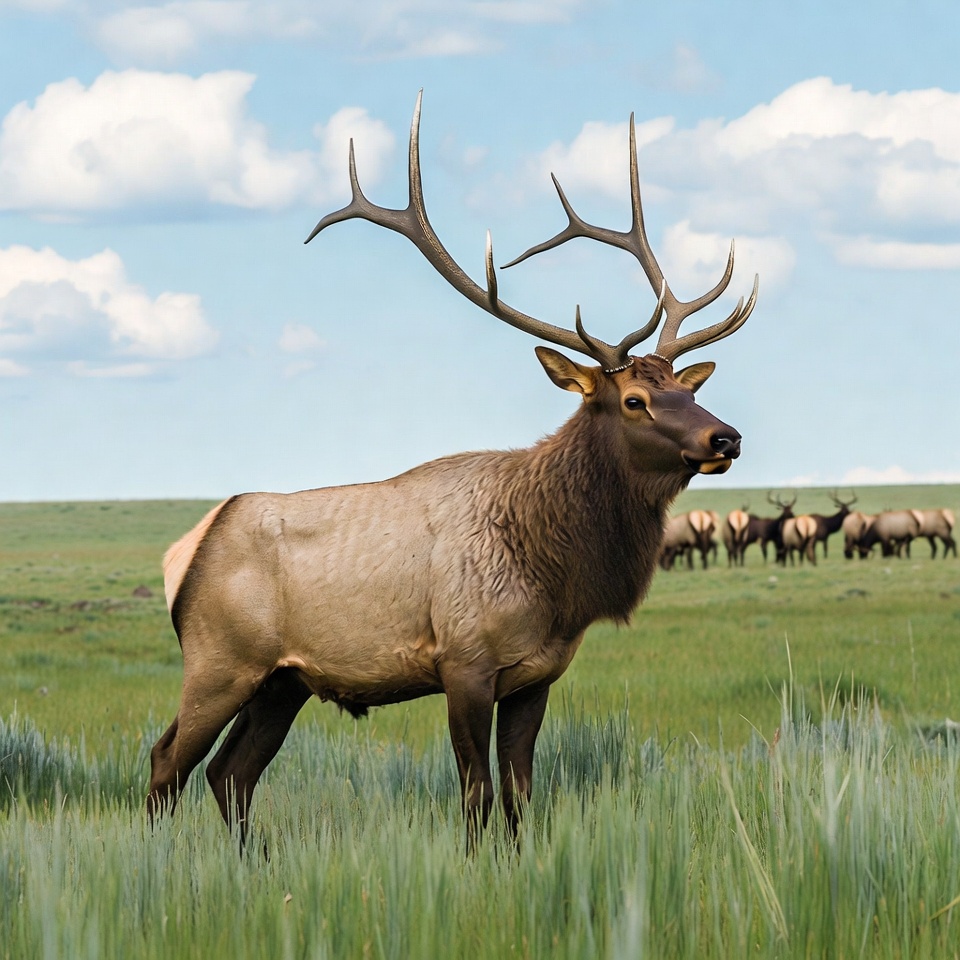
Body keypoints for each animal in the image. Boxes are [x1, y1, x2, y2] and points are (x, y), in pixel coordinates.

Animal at [146, 93, 758, 848]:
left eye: (686, 388)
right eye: (634, 400)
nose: (726, 436)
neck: (557, 580)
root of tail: (184, 551)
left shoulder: (536, 676)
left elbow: (522, 795)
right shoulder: (463, 663)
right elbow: (477, 795)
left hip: (282, 681)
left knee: (230, 772)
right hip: (218, 658)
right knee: (167, 760)